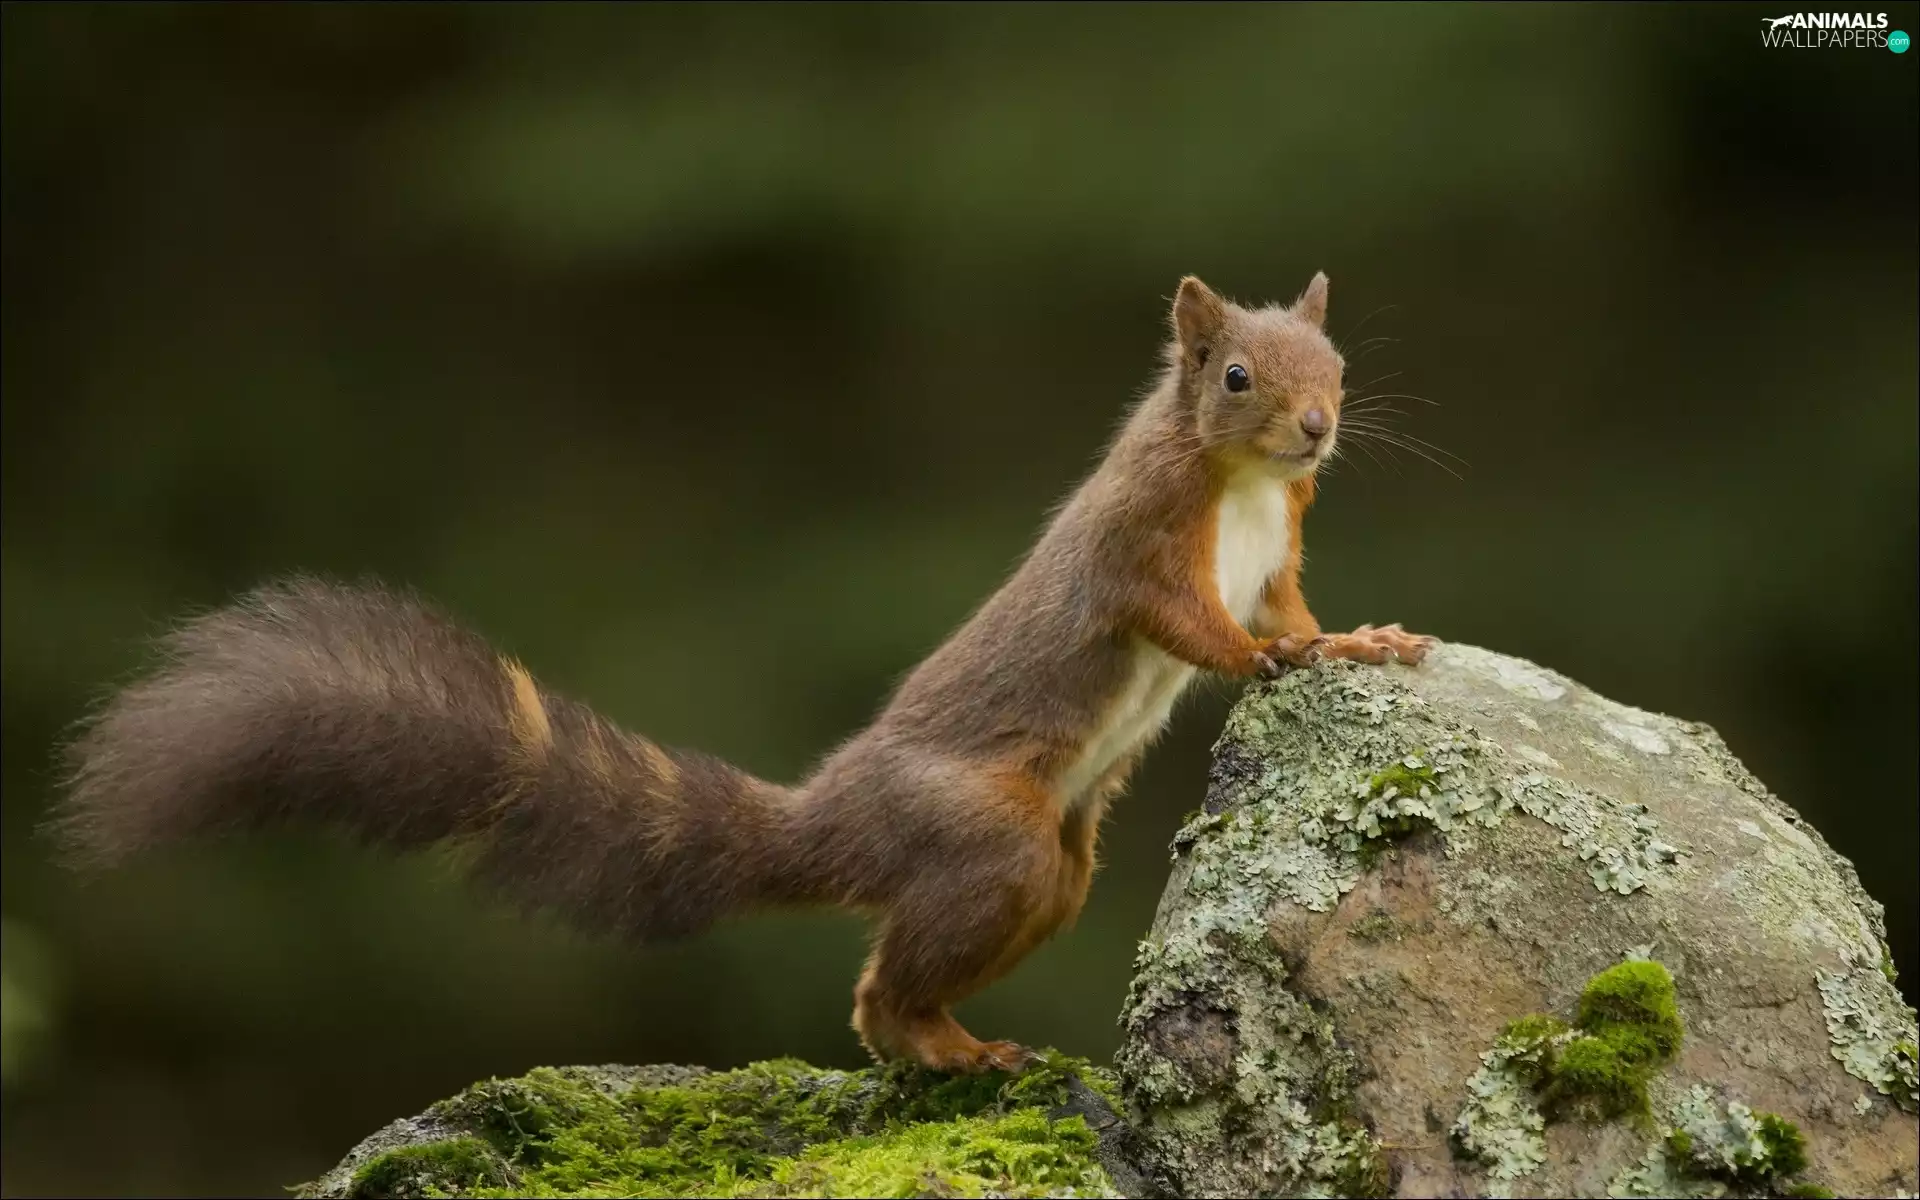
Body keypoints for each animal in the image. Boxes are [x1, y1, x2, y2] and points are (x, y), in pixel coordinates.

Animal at [52, 272, 1436, 1074]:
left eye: (1339, 370)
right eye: (1237, 376)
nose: (1318, 430)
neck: (1243, 483)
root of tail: (834, 816)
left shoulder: (1273, 551)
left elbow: (1291, 602)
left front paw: (1355, 640)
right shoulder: (1145, 549)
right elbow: (1194, 627)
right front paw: (1276, 658)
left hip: (1057, 871)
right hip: (986, 838)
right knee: (882, 990)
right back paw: (946, 1046)